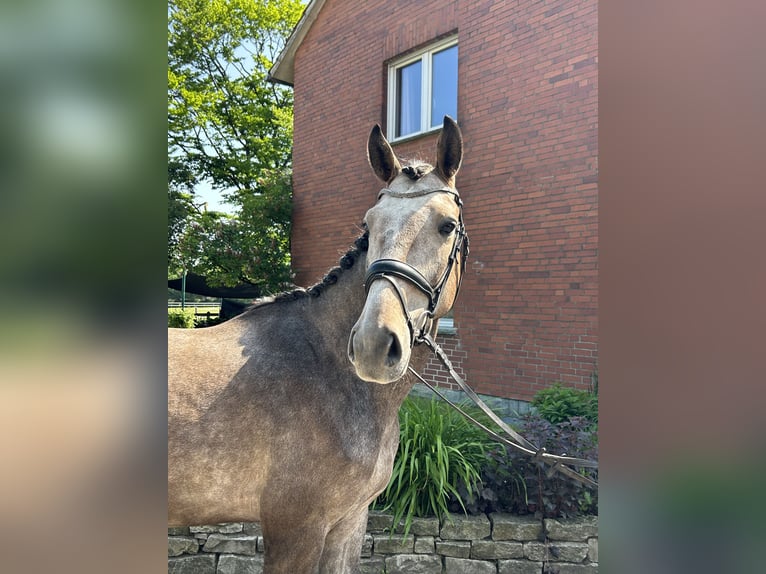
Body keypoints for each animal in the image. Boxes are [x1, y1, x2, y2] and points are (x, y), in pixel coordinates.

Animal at [169, 117, 468, 574]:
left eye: (447, 226)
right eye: (368, 225)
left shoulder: (349, 522)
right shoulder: (297, 531)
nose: (373, 345)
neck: (325, 372)